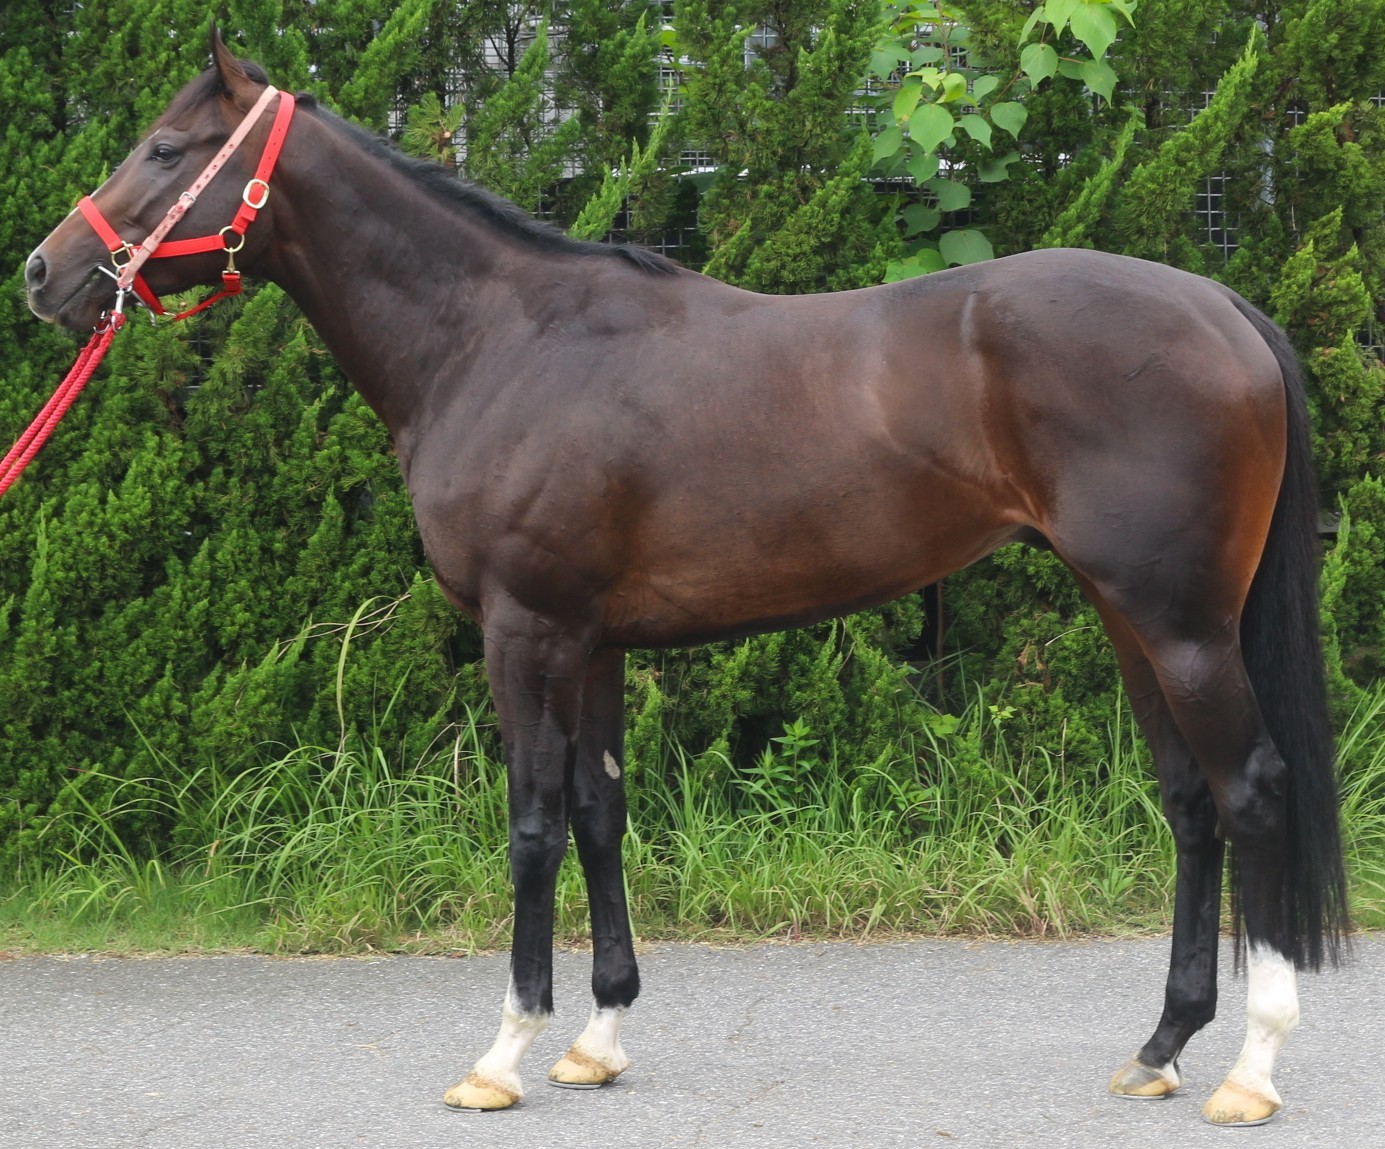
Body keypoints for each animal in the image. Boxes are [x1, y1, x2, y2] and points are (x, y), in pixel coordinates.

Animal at [24, 31, 1346, 1127]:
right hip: (1132, 618)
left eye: (164, 149)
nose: (43, 272)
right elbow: (601, 814)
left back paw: (1247, 1070)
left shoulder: (525, 632)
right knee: (1187, 805)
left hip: (1180, 625)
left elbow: (531, 826)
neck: (499, 340)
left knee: (1249, 792)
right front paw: (597, 1039)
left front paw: (503, 1054)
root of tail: (1219, 302)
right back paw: (1160, 1048)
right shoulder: (593, 640)